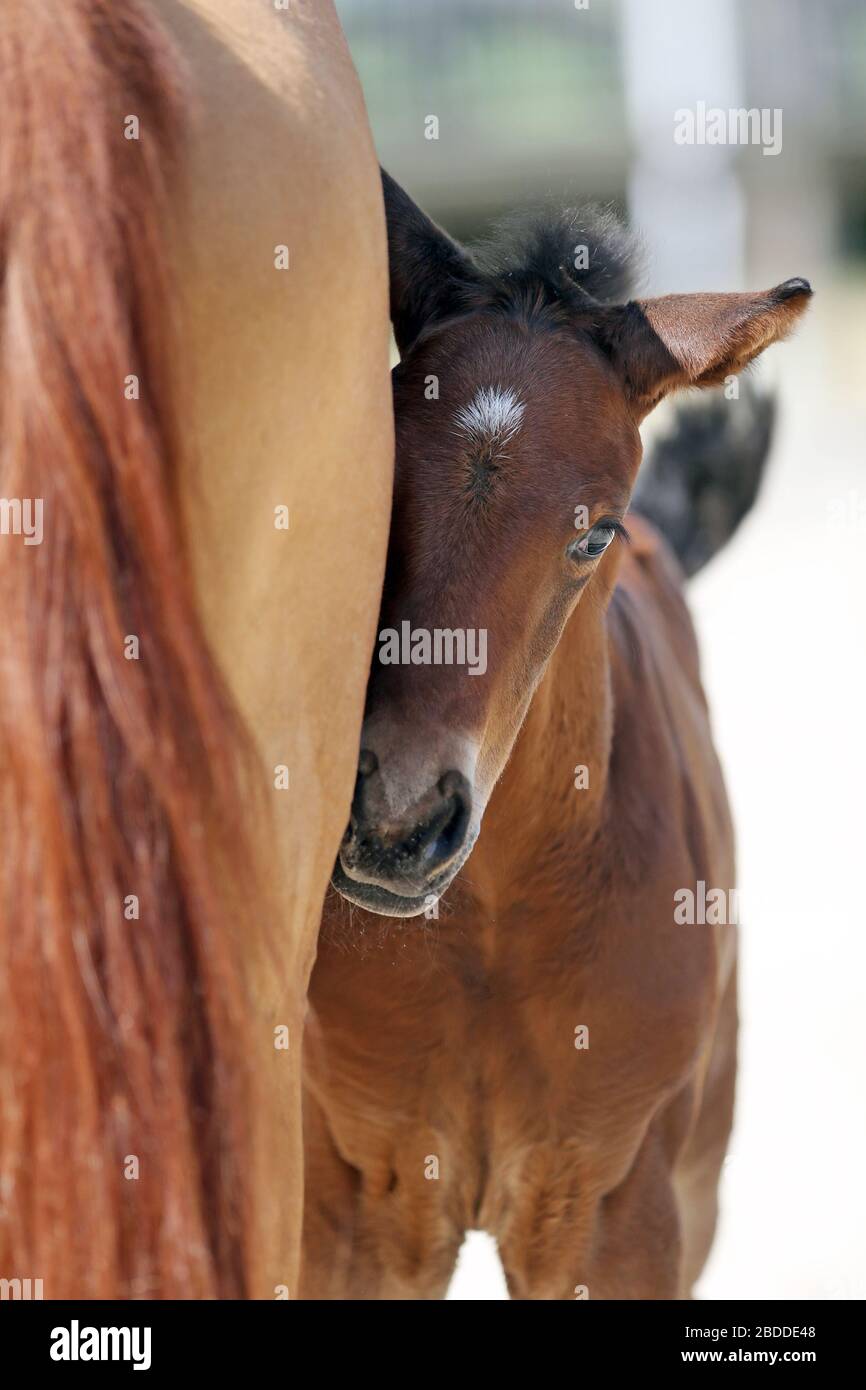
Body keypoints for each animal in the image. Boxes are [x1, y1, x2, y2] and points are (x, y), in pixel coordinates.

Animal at [300, 171, 811, 1299]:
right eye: (379, 478)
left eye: (594, 532)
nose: (397, 819)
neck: (497, 917)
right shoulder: (360, 1197)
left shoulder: (613, 1212)